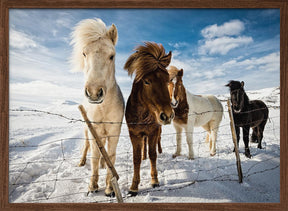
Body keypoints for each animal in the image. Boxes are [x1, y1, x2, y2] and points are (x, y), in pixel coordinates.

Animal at [70, 18, 124, 196]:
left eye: (112, 56)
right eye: (84, 53)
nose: (94, 93)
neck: (103, 108)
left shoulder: (114, 131)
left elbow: (111, 155)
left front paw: (109, 188)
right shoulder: (94, 130)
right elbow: (93, 156)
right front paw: (92, 186)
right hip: (88, 131)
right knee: (87, 147)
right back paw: (81, 162)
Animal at [124, 41, 173, 196]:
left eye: (168, 80)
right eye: (146, 82)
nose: (167, 115)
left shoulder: (153, 132)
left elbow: (153, 155)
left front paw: (154, 180)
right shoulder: (134, 134)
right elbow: (136, 159)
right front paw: (134, 186)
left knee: (158, 142)